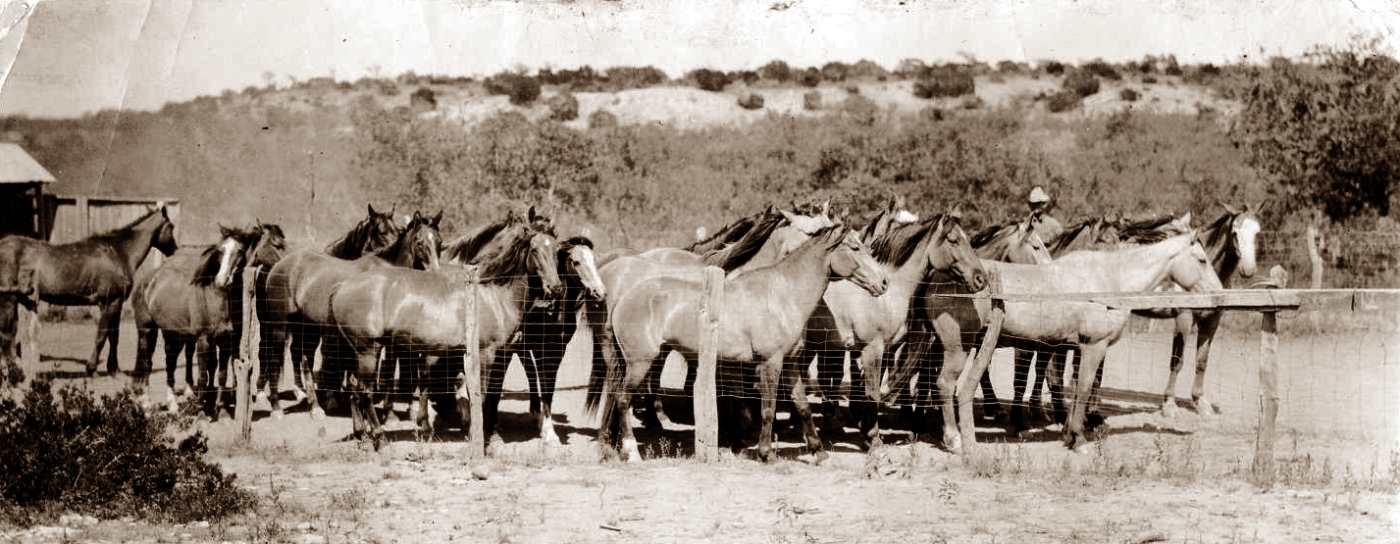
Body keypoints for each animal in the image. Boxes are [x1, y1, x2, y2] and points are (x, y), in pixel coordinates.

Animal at [0, 205, 178, 376]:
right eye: (171, 226)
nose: (175, 251)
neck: (118, 253)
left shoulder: (114, 303)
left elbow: (114, 336)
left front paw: (114, 369)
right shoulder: (110, 302)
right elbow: (102, 336)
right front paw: (91, 368)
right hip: (8, 301)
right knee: (7, 337)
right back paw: (15, 373)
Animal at [131, 223, 286, 417]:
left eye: (240, 250)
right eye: (220, 250)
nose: (222, 280)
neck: (216, 297)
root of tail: (148, 280)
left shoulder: (227, 340)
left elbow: (222, 374)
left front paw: (222, 409)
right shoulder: (203, 340)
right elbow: (203, 375)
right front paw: (202, 411)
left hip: (172, 333)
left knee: (170, 363)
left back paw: (172, 405)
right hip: (147, 330)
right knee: (147, 363)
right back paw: (146, 406)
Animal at [257, 208, 441, 419]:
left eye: (439, 242)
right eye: (419, 242)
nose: (435, 274)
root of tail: (278, 265)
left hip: (308, 327)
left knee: (304, 360)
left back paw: (315, 407)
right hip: (278, 325)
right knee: (273, 357)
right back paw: (276, 408)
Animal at [329, 222, 564, 450]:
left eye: (556, 250)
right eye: (534, 250)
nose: (556, 288)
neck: (492, 296)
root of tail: (342, 286)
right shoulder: (486, 354)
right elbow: (482, 397)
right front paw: (480, 438)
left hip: (359, 353)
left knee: (355, 389)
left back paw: (363, 437)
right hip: (369, 351)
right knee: (366, 392)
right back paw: (380, 439)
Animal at [598, 226, 889, 463]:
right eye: (855, 248)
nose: (883, 282)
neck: (782, 295)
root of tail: (624, 298)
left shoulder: (790, 363)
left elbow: (803, 406)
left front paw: (819, 453)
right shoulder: (771, 363)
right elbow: (768, 408)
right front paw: (766, 454)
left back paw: (611, 449)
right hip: (641, 362)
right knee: (623, 400)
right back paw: (631, 452)